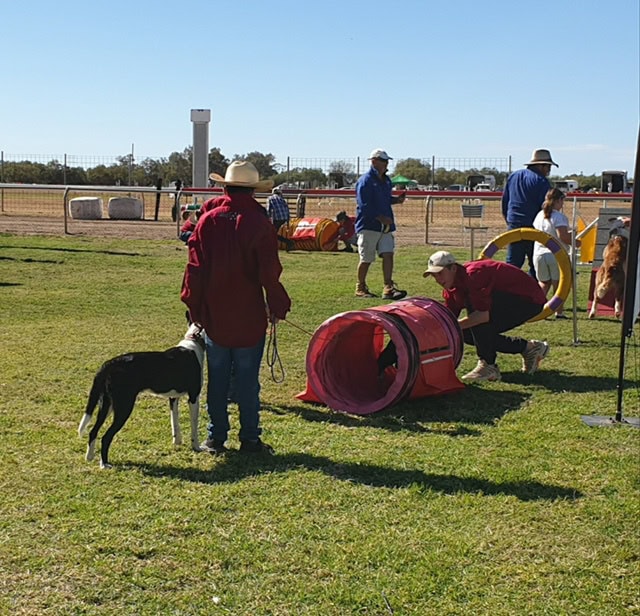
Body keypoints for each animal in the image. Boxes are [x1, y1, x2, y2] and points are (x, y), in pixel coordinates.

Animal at [78, 320, 205, 470]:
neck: (194, 340)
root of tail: (108, 365)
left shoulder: (173, 397)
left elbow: (174, 422)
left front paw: (177, 441)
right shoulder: (194, 397)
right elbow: (194, 426)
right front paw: (196, 447)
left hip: (106, 405)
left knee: (93, 431)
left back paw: (89, 457)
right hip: (124, 407)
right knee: (106, 437)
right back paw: (104, 464)